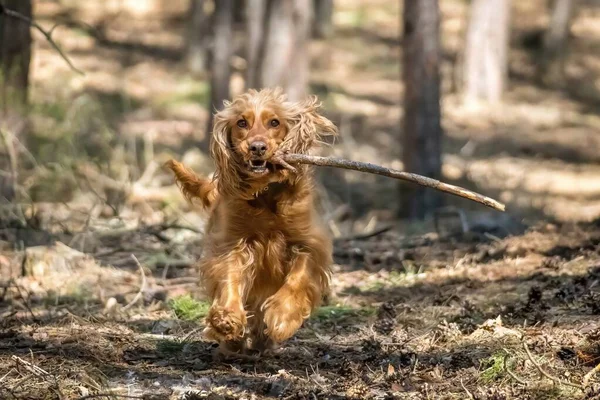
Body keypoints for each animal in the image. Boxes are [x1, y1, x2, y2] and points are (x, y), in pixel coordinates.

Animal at [166, 88, 338, 356]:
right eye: (241, 123)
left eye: (274, 122)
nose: (257, 147)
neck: (265, 193)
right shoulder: (233, 243)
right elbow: (230, 278)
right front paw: (226, 318)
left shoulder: (309, 243)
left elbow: (298, 277)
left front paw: (282, 315)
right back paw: (234, 341)